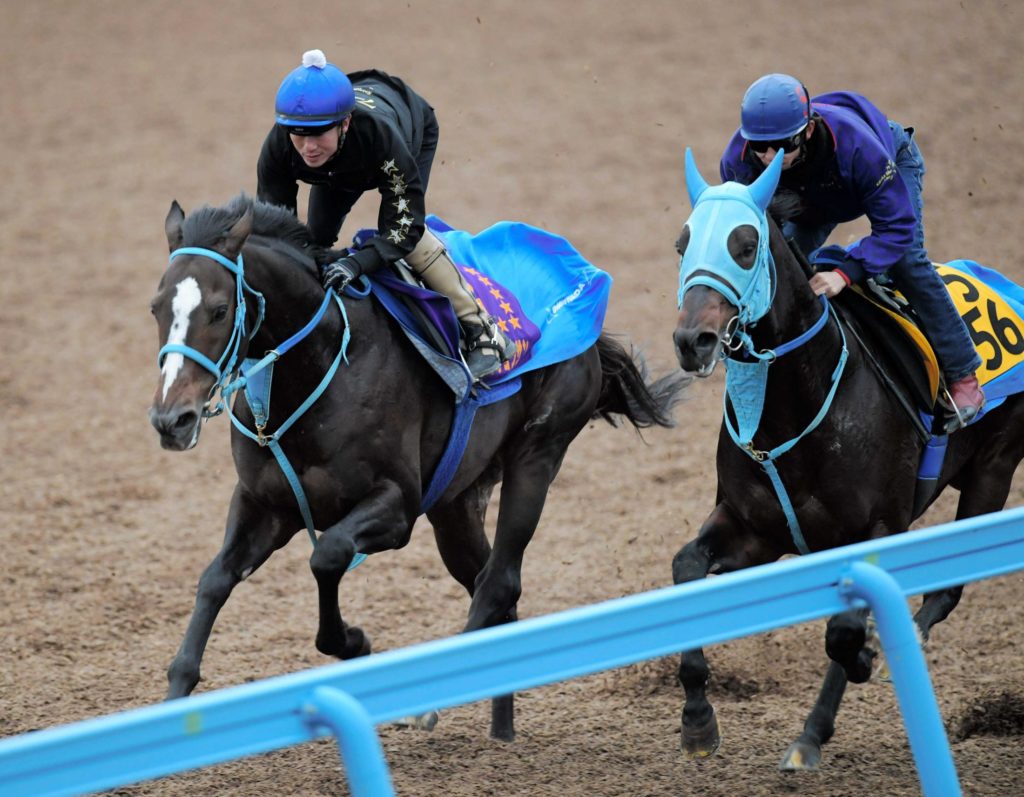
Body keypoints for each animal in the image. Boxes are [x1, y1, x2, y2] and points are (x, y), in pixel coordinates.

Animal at [146, 192, 688, 737]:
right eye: (155, 307)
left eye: (219, 310)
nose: (172, 419)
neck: (322, 365)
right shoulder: (265, 504)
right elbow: (215, 579)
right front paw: (172, 702)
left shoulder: (398, 506)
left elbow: (328, 556)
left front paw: (354, 641)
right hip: (455, 505)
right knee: (493, 588)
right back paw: (501, 730)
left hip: (538, 455)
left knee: (499, 582)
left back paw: (431, 702)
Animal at [667, 150, 1024, 770]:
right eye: (681, 242)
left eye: (746, 244)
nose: (695, 340)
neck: (793, 406)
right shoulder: (754, 531)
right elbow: (686, 568)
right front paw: (697, 720)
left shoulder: (876, 527)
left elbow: (844, 633)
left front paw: (835, 700)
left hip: (994, 469)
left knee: (945, 591)